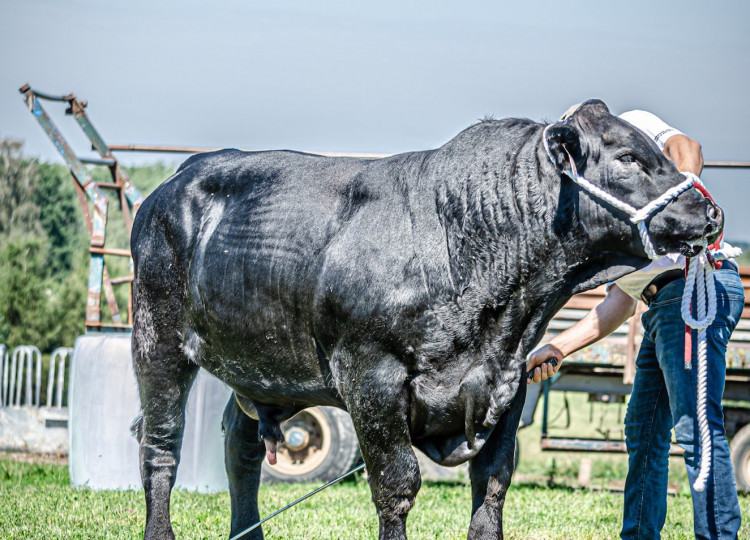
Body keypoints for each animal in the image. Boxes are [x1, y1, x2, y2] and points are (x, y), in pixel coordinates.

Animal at [134, 100, 724, 536]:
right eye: (627, 157)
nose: (710, 212)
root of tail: (182, 173)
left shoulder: (509, 383)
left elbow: (492, 487)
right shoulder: (372, 380)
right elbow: (397, 485)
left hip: (259, 369)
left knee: (242, 447)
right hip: (157, 341)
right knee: (160, 449)